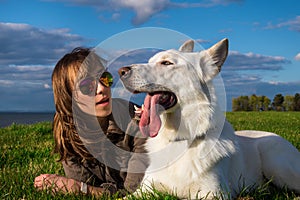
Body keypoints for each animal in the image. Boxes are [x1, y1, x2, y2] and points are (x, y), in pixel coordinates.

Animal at [118, 39, 300, 198]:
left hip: (277, 164)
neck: (180, 139)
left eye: (167, 63)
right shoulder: (143, 190)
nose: (121, 71)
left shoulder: (213, 193)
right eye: (150, 61)